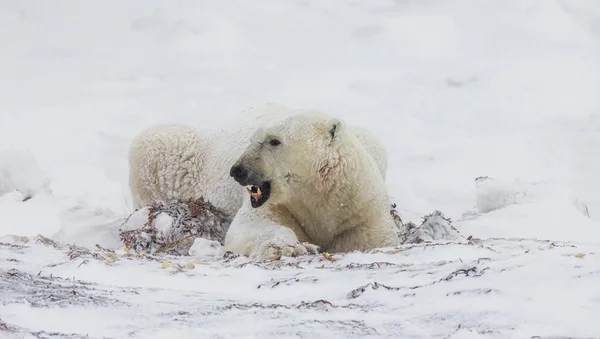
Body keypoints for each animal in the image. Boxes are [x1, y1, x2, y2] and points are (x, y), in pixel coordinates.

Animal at [127, 103, 398, 260]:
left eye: (274, 141)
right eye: (252, 139)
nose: (237, 170)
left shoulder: (359, 206)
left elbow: (376, 238)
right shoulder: (277, 204)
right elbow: (253, 226)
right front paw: (288, 247)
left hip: (372, 145)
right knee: (153, 142)